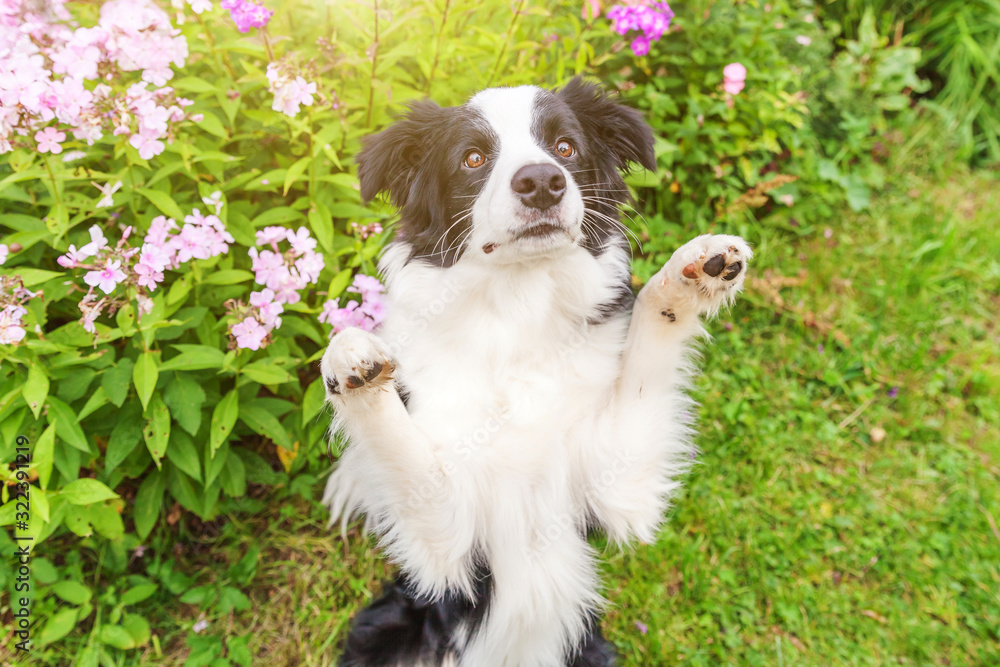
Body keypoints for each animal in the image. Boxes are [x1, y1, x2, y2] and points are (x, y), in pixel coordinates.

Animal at [320, 75, 752, 664]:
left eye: (565, 148)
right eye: (474, 158)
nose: (542, 181)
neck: (519, 308)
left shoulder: (619, 483)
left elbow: (648, 342)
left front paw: (692, 273)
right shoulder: (447, 546)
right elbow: (402, 449)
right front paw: (347, 358)